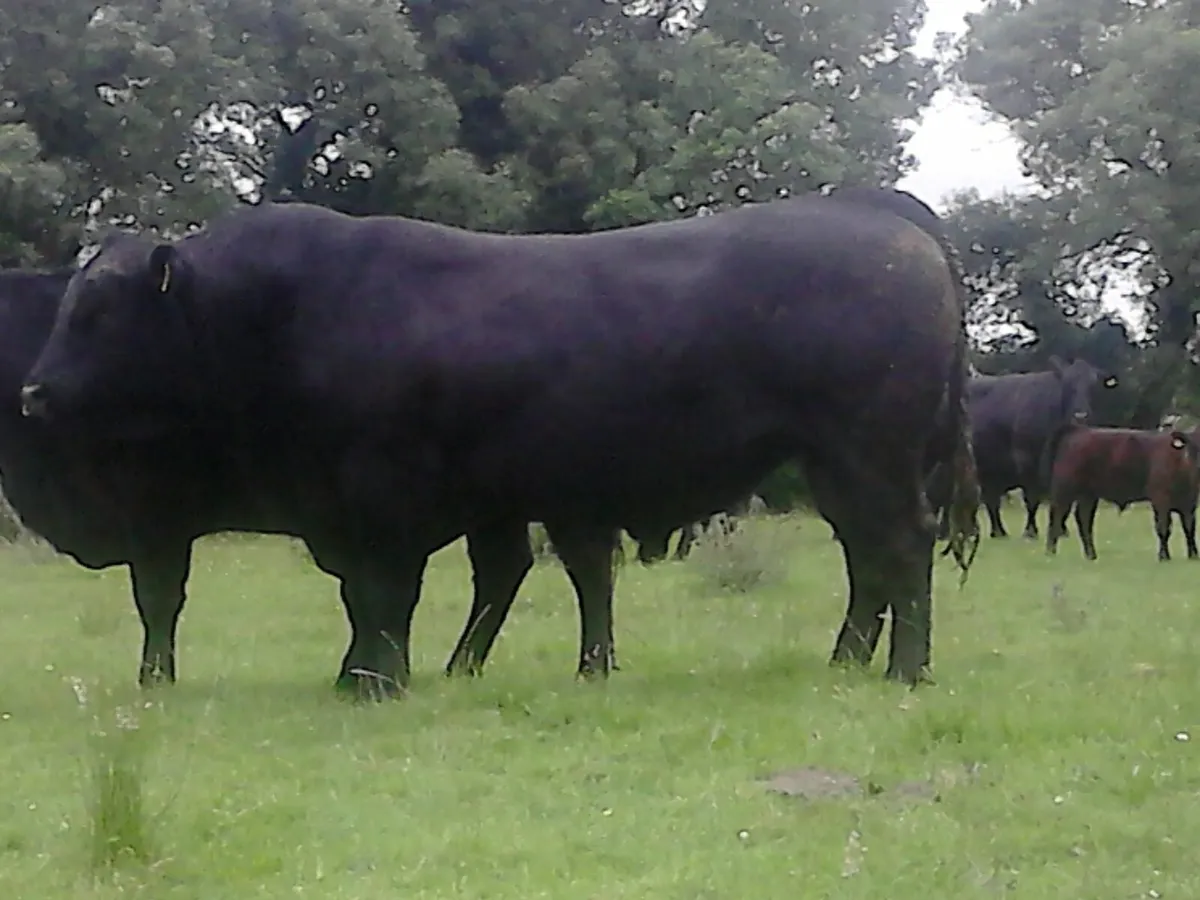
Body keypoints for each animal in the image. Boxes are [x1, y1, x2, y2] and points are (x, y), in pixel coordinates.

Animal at [0, 266, 556, 691]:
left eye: (95, 313)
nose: (33, 394)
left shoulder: (158, 517)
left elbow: (158, 599)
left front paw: (154, 678)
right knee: (501, 570)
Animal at [931, 359, 1116, 541]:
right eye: (1067, 385)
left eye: (1093, 386)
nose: (1080, 416)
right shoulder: (1027, 462)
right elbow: (1032, 499)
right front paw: (1031, 531)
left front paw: (1061, 530)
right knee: (945, 498)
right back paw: (945, 533)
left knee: (987, 499)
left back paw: (995, 532)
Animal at [1044, 425, 1200, 561]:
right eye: (1192, 448)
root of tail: (1079, 429)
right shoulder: (1160, 499)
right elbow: (1163, 527)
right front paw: (1164, 556)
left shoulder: (1190, 504)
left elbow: (1190, 528)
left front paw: (1193, 555)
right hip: (1065, 490)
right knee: (1056, 516)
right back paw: (1050, 552)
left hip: (1088, 495)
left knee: (1084, 519)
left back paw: (1091, 555)